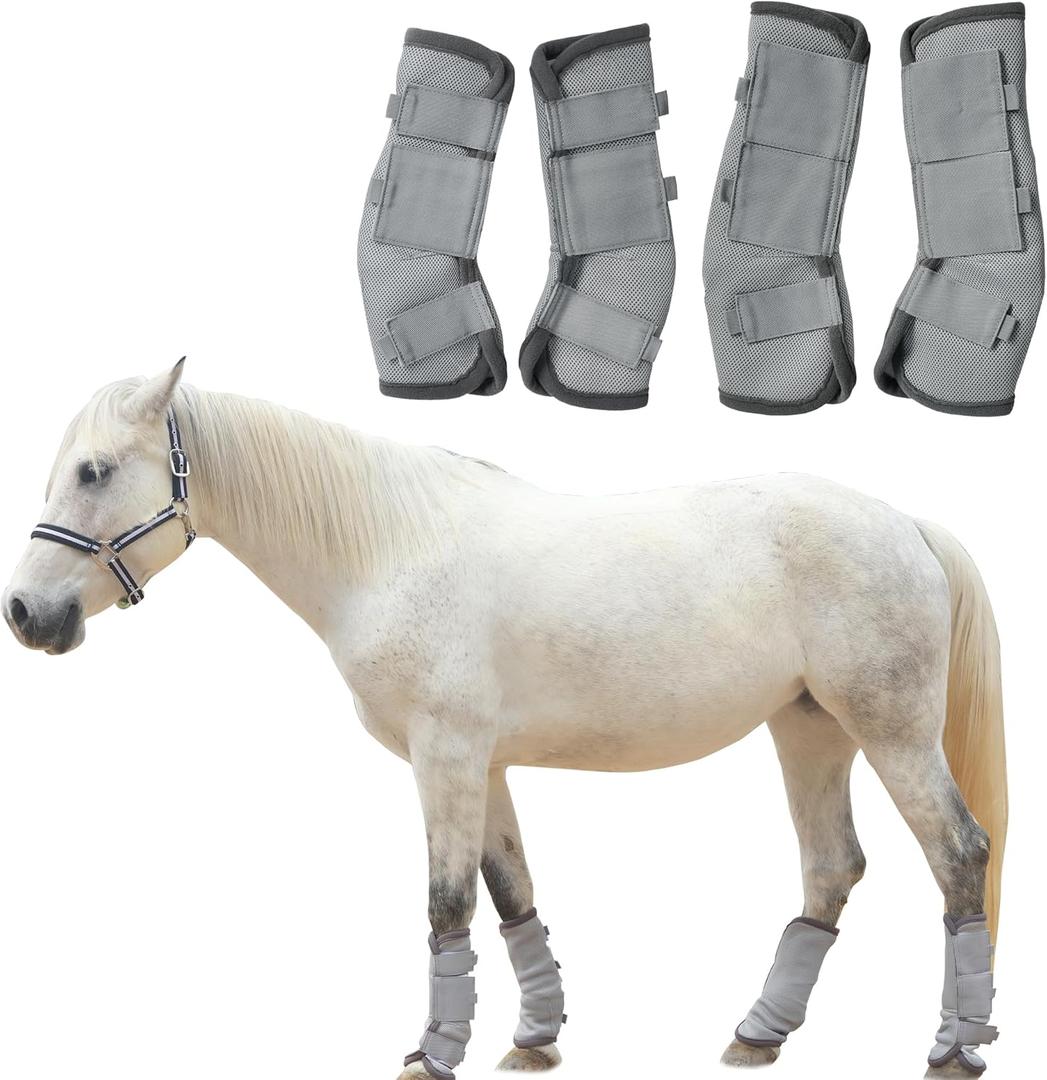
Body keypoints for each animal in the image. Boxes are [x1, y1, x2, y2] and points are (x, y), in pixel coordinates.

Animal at [4, 362, 1006, 1079]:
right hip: (808, 730)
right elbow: (511, 893)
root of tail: (904, 523)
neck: (386, 549)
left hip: (889, 731)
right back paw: (758, 1034)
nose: (26, 614)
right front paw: (532, 1040)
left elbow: (446, 902)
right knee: (832, 867)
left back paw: (955, 1049)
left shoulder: (443, 756)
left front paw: (432, 1056)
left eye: (94, 471)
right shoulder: (482, 766)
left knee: (958, 854)